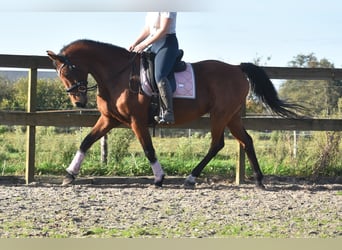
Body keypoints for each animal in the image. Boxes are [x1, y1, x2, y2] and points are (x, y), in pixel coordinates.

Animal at [47, 39, 300, 188]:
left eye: (67, 72)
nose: (79, 102)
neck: (118, 75)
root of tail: (237, 68)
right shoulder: (109, 119)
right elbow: (86, 142)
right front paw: (69, 174)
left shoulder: (137, 121)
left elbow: (148, 149)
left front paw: (159, 178)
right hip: (232, 116)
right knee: (246, 141)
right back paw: (258, 180)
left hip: (220, 114)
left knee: (217, 144)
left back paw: (191, 177)